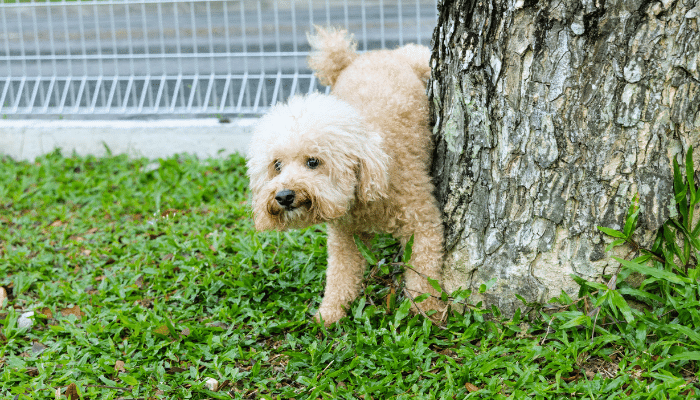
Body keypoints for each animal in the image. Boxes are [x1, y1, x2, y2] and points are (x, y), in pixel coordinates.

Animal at [246, 26, 442, 324]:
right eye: (277, 165)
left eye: (313, 161)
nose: (284, 196)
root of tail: (359, 57)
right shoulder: (344, 236)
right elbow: (340, 274)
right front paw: (329, 314)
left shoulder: (423, 222)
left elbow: (425, 272)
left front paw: (427, 311)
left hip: (419, 59)